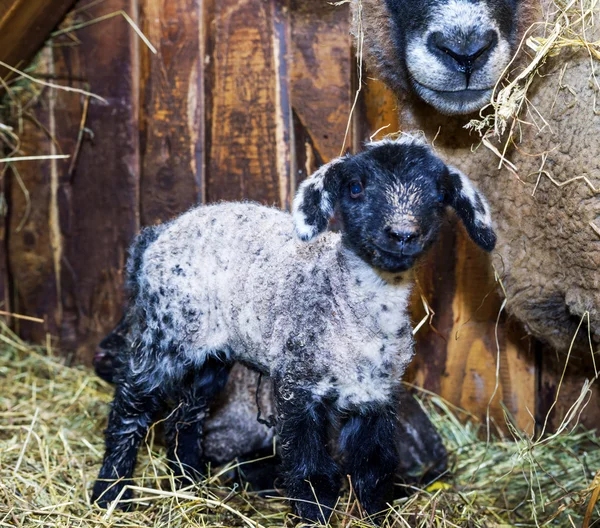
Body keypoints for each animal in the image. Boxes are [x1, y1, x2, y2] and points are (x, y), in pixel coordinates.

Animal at [91, 134, 494, 520]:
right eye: (356, 187)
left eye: (439, 194)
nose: (403, 233)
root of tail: (158, 234)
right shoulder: (297, 385)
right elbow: (311, 472)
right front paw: (313, 516)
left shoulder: (377, 395)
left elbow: (374, 470)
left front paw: (372, 516)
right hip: (164, 333)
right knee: (130, 408)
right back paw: (110, 494)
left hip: (211, 354)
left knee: (186, 417)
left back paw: (188, 485)